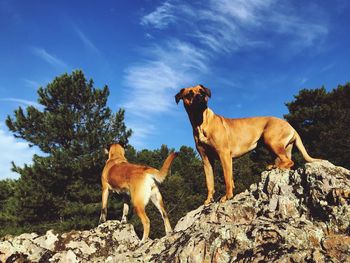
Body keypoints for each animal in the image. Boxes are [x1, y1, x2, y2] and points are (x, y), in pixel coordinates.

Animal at [175, 85, 320, 205]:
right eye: (189, 94)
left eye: (202, 92)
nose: (200, 97)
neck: (200, 122)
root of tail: (292, 127)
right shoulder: (206, 160)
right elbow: (210, 182)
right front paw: (208, 200)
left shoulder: (224, 154)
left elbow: (227, 178)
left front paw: (227, 196)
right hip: (277, 145)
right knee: (287, 161)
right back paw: (273, 166)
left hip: (271, 140)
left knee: (289, 161)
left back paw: (275, 167)